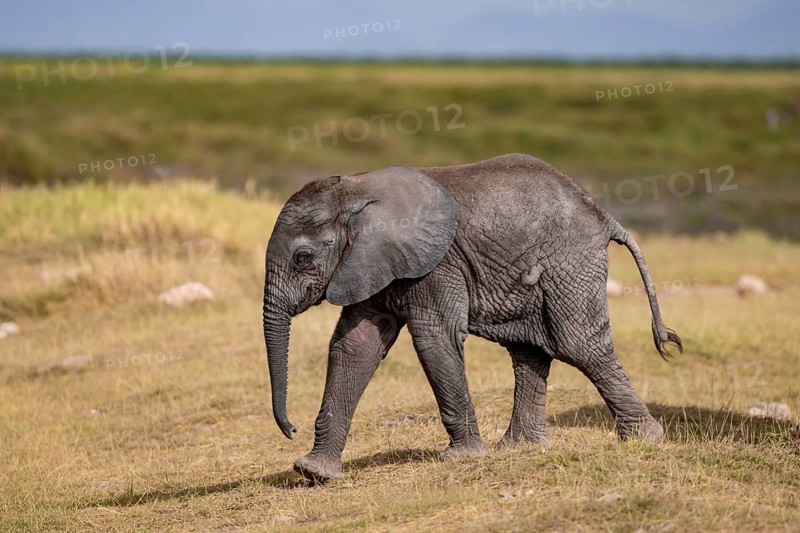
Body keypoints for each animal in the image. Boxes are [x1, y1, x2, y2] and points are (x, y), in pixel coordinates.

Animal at [262, 153, 682, 483]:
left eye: (302, 258)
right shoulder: (368, 264)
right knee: (529, 350)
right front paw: (313, 473)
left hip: (570, 262)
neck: (356, 189)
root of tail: (603, 215)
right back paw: (520, 448)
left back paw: (643, 440)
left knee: (578, 345)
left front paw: (461, 458)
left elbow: (434, 337)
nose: (291, 428)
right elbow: (355, 346)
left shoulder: (436, 265)